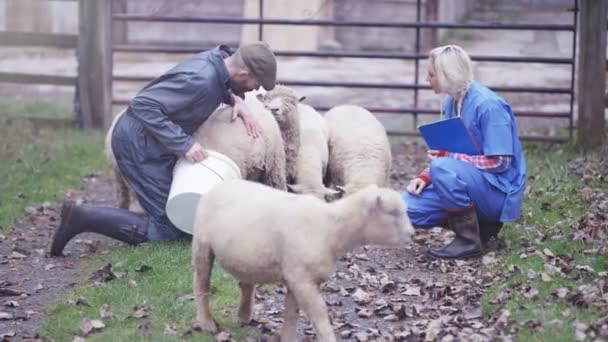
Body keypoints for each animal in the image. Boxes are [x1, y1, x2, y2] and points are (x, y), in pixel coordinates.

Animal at [192, 179, 416, 342]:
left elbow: (292, 313)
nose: (412, 234)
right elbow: (319, 315)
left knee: (246, 284)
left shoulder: (296, 276)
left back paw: (244, 316)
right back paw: (206, 323)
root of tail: (222, 183)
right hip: (202, 244)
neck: (331, 228)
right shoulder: (302, 279)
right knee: (201, 283)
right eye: (393, 212)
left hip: (247, 255)